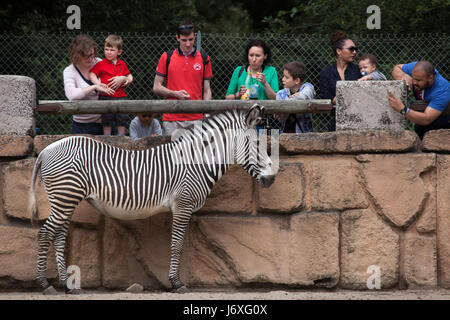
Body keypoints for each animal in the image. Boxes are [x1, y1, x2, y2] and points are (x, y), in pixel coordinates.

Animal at [29, 104, 274, 294]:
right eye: (256, 145)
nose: (271, 179)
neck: (195, 161)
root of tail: (47, 149)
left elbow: (176, 244)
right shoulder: (183, 205)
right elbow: (177, 244)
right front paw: (176, 283)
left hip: (65, 200)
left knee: (59, 236)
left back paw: (67, 285)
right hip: (65, 196)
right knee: (45, 234)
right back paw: (45, 285)